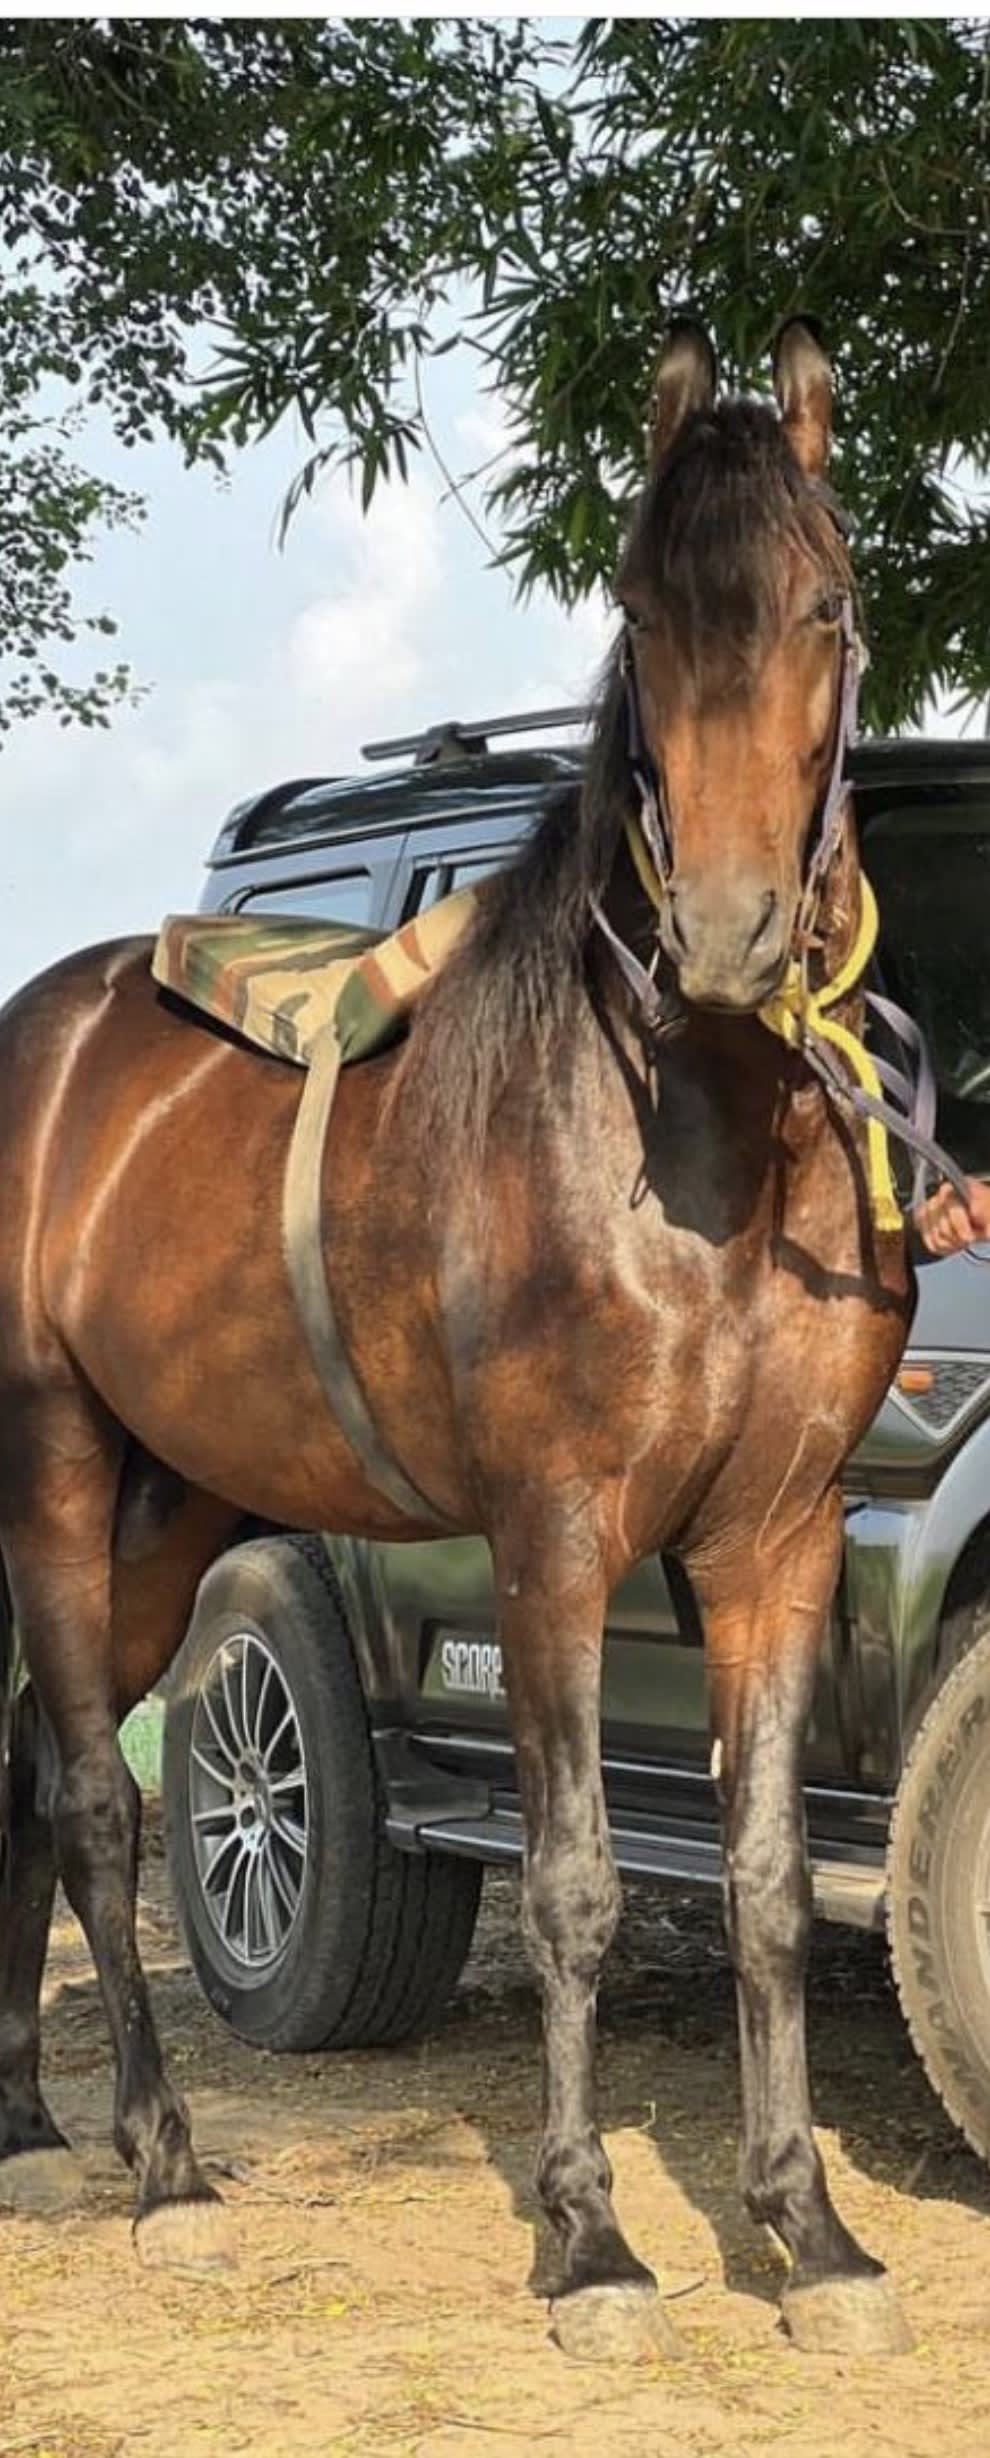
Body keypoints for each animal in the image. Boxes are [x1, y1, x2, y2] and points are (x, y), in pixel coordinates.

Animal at [0, 318, 914, 2362]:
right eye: (642, 614)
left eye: (825, 606)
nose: (729, 935)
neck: (701, 1134)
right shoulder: (555, 1538)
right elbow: (574, 1879)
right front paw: (591, 2242)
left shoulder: (780, 1540)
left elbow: (761, 1882)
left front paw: (808, 2232)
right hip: (58, 1467)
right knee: (96, 1793)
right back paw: (167, 2166)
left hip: (173, 1508)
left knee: (27, 1762)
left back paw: (27, 2113)